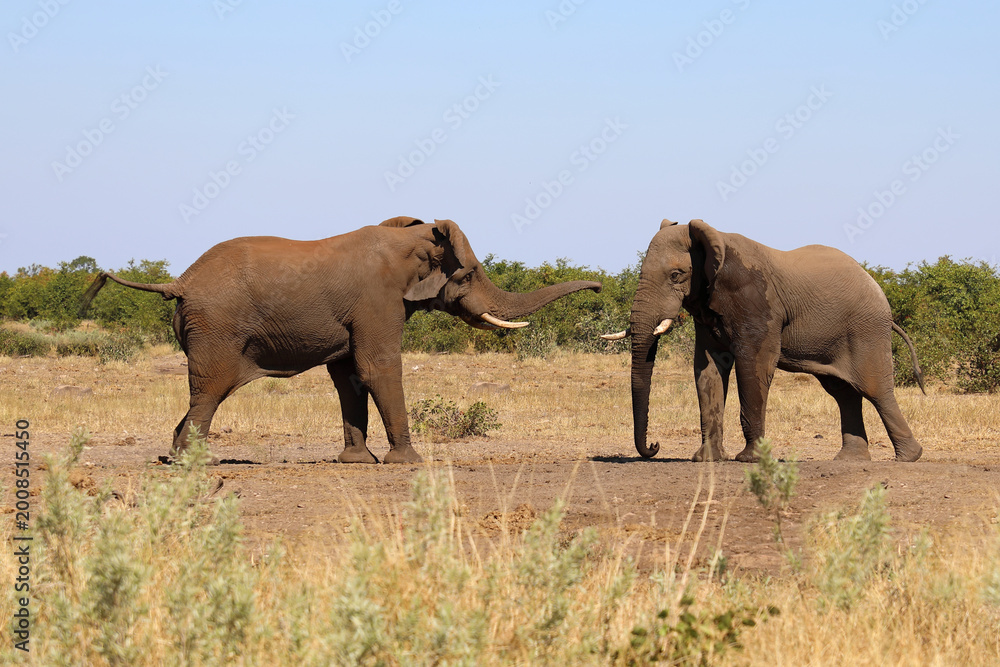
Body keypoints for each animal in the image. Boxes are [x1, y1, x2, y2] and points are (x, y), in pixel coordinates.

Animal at [80, 217, 601, 463]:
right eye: (470, 273)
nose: (598, 288)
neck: (408, 239)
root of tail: (180, 282)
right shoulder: (377, 300)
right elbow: (378, 366)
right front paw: (408, 462)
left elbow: (348, 375)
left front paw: (356, 461)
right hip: (216, 328)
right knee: (209, 390)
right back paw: (197, 463)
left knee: (201, 394)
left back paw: (174, 458)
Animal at [602, 218, 924, 463]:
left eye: (675, 275)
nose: (654, 446)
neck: (714, 237)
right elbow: (708, 369)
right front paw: (707, 460)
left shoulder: (753, 298)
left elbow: (753, 364)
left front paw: (750, 459)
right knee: (843, 393)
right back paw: (849, 460)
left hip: (866, 331)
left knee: (875, 390)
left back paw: (908, 457)